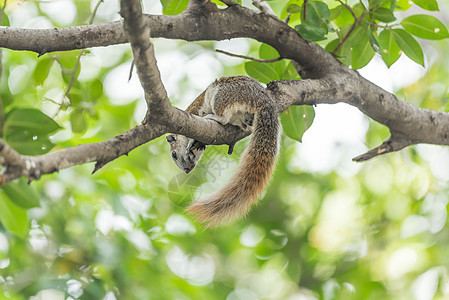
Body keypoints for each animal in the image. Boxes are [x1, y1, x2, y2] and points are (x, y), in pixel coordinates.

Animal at [165, 76, 276, 229]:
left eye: (174, 154)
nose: (187, 170)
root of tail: (261, 96)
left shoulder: (196, 114)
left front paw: (191, 143)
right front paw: (196, 145)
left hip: (222, 95)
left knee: (223, 117)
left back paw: (213, 117)